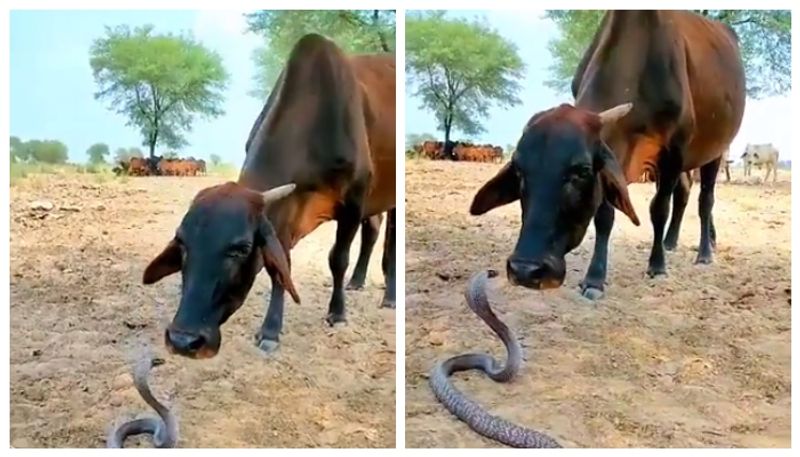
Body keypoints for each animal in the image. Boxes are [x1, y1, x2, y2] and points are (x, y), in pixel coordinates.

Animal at [143, 33, 396, 358]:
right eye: (183, 243)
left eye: (241, 248)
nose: (183, 340)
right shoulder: (282, 216)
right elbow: (281, 268)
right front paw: (270, 330)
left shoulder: (354, 200)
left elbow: (338, 258)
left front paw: (337, 314)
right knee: (373, 230)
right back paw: (357, 281)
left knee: (388, 240)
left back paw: (390, 296)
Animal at [468, 9, 744, 300]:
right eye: (520, 170)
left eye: (581, 171)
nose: (525, 269)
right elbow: (604, 217)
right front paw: (595, 278)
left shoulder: (673, 152)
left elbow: (659, 208)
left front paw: (657, 265)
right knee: (684, 193)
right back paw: (672, 241)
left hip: (714, 152)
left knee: (705, 200)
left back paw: (704, 251)